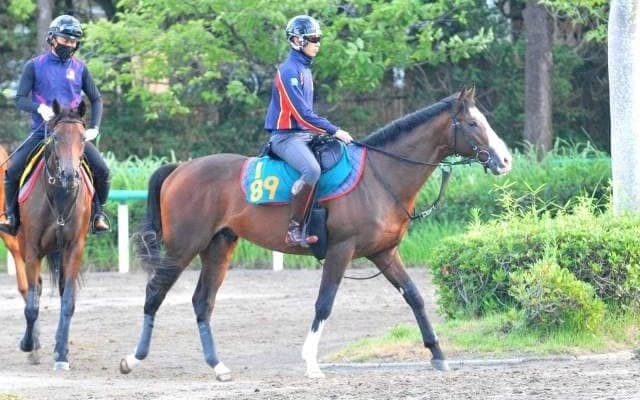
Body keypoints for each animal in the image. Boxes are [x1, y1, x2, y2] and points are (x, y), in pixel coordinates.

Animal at [17, 100, 93, 370]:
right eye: (56, 137)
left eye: (83, 137)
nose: (69, 175)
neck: (60, 195)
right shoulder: (32, 250)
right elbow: (31, 303)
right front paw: (28, 345)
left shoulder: (74, 248)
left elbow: (68, 301)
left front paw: (61, 354)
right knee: (35, 291)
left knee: (60, 293)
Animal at [120, 88, 512, 380]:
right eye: (473, 123)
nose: (506, 160)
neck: (379, 175)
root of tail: (180, 169)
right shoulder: (341, 250)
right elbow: (324, 303)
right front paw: (311, 362)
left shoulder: (384, 253)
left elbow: (414, 296)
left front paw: (437, 354)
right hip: (183, 247)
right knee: (155, 292)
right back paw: (133, 358)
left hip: (218, 248)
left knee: (203, 302)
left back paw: (218, 366)